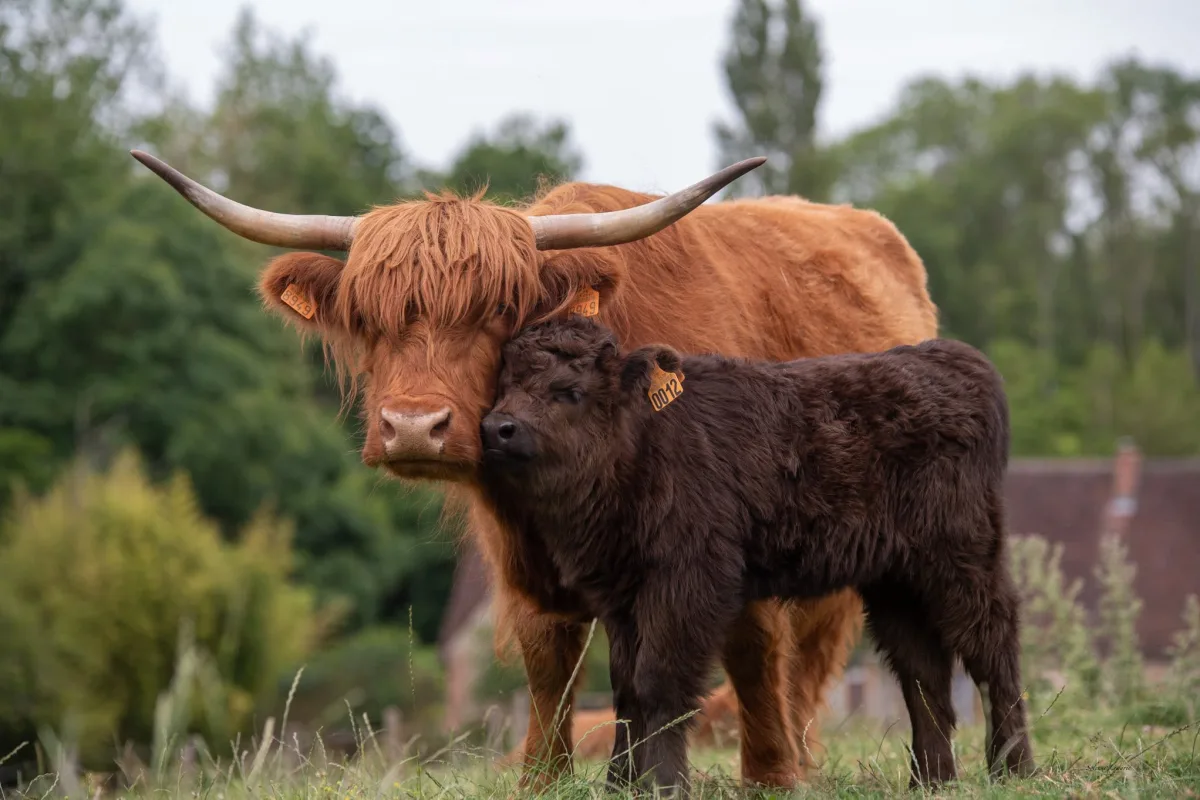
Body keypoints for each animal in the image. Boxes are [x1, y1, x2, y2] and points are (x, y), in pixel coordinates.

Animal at [131, 149, 938, 790]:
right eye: (368, 319)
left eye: (496, 314)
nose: (414, 427)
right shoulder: (523, 555)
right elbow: (552, 659)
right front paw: (543, 776)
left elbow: (749, 643)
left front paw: (770, 776)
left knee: (815, 648)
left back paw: (801, 753)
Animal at [477, 316, 1036, 795]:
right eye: (504, 382)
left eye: (569, 391)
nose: (497, 427)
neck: (641, 443)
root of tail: (949, 358)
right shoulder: (620, 597)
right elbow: (626, 690)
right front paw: (620, 785)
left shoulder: (686, 584)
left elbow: (658, 683)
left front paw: (663, 784)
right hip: (897, 582)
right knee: (923, 671)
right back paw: (932, 780)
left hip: (965, 558)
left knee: (993, 647)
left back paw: (1015, 769)